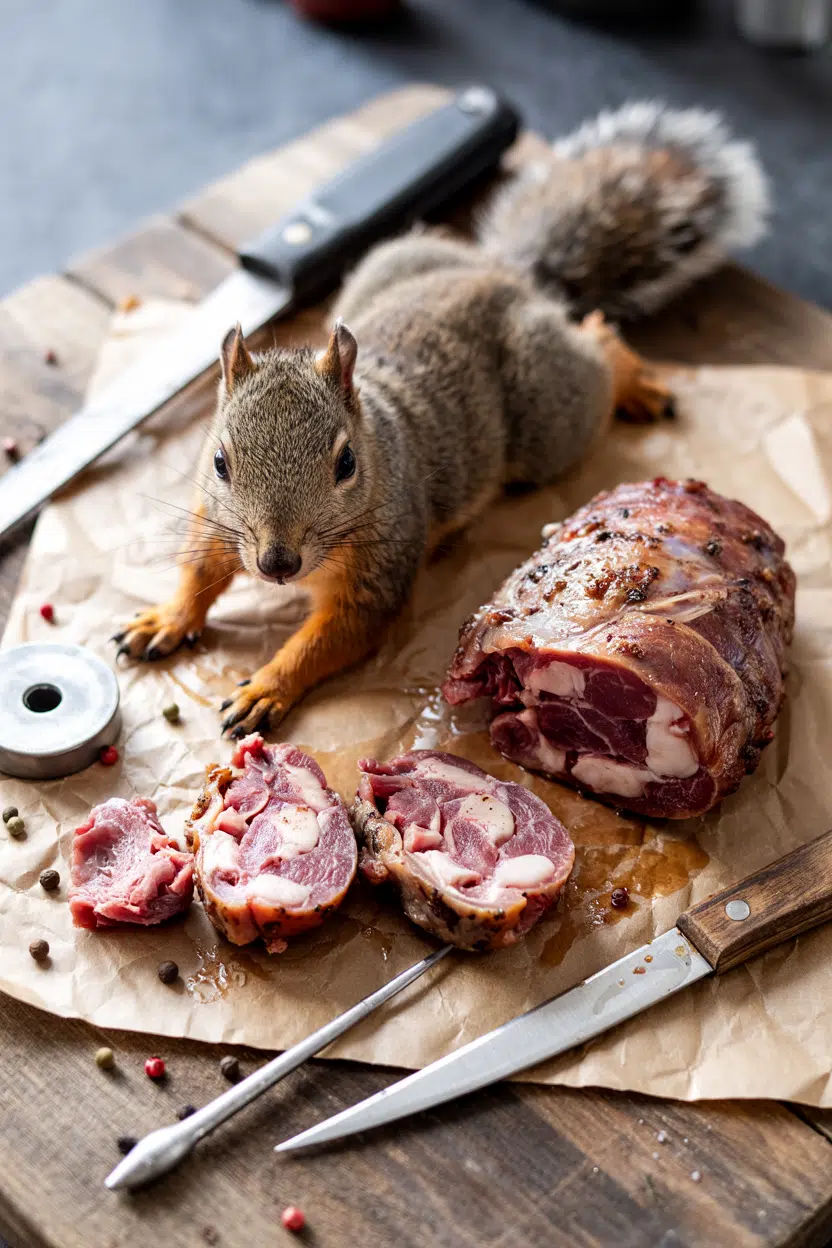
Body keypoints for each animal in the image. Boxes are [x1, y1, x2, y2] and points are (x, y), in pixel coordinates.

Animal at [113, 101, 768, 738]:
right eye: (219, 461)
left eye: (346, 463)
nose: (278, 564)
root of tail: (505, 275)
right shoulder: (213, 519)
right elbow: (198, 568)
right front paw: (167, 618)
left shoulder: (382, 565)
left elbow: (335, 636)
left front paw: (268, 686)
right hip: (392, 259)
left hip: (551, 417)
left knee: (595, 349)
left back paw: (627, 374)